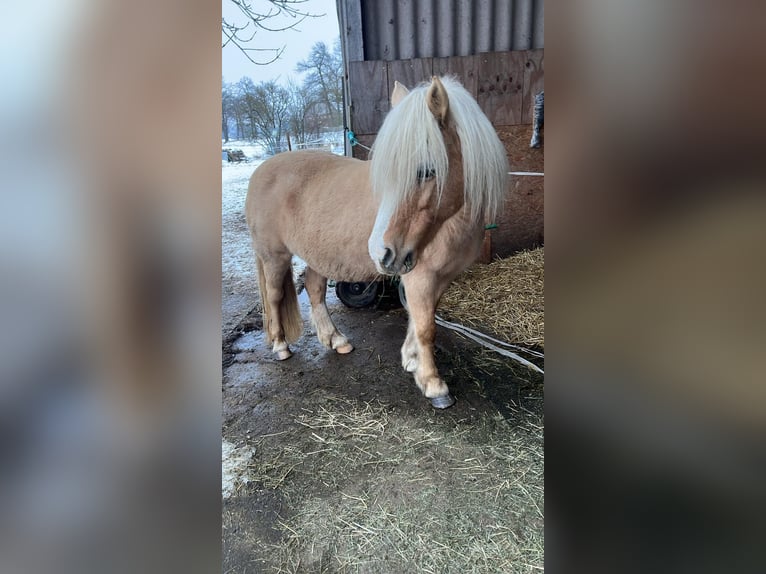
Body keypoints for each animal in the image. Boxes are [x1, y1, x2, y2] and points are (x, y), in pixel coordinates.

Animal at [245, 76, 508, 408]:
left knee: (315, 289)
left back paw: (336, 340)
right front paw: (434, 385)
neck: (448, 223)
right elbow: (426, 326)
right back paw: (281, 346)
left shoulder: (439, 277)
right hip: (275, 256)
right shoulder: (420, 276)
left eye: (426, 171)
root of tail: (261, 170)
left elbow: (420, 318)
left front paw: (411, 361)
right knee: (275, 296)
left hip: (319, 256)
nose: (380, 252)